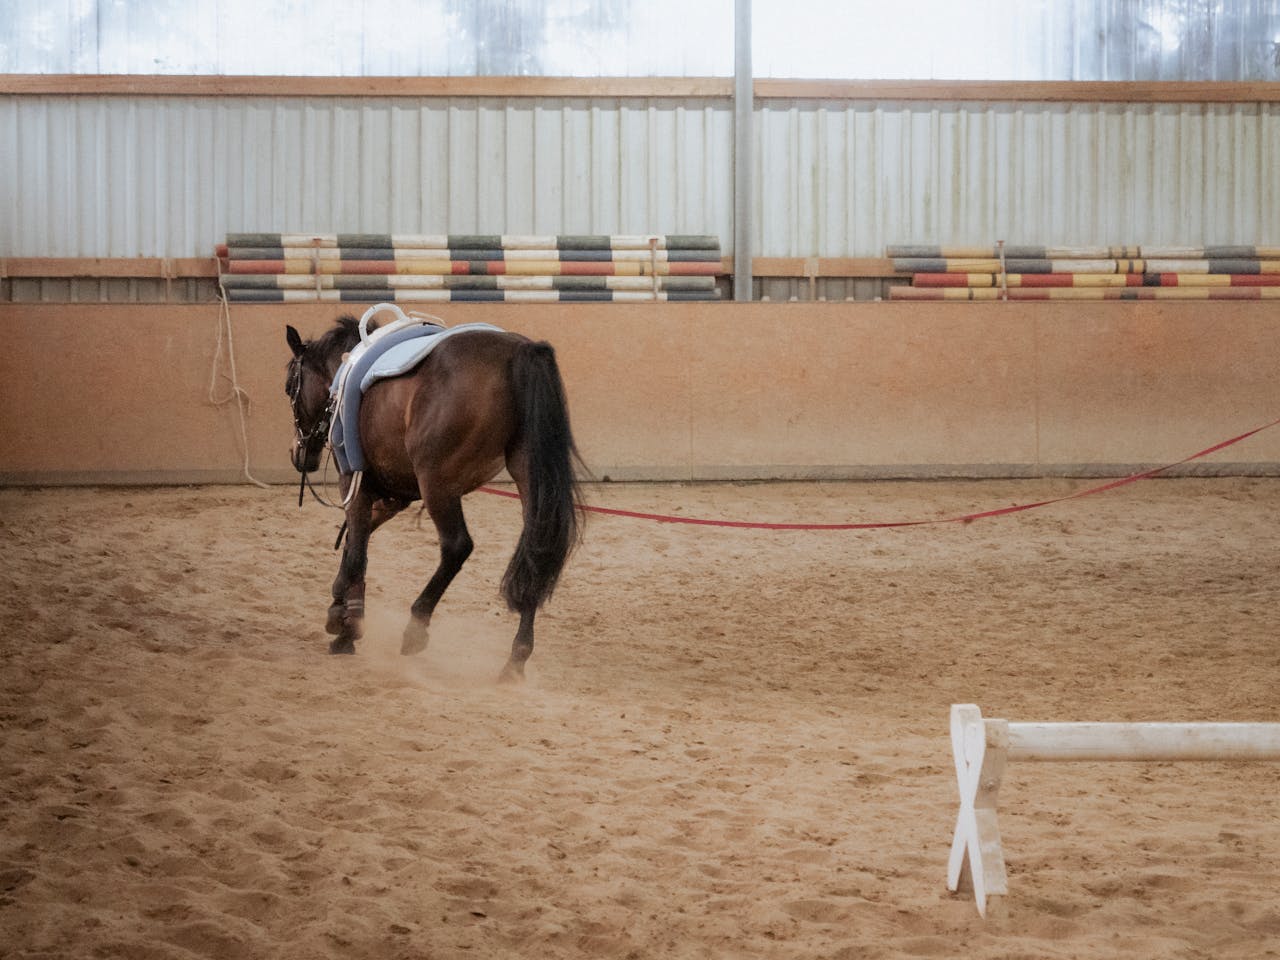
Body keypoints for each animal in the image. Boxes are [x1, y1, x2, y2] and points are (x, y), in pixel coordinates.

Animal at [284, 311, 584, 681]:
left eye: (289, 388)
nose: (299, 454)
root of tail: (518, 351)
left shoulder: (354, 483)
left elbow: (356, 552)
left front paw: (346, 624)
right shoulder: (393, 497)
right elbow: (359, 541)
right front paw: (343, 612)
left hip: (437, 483)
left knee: (457, 547)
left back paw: (416, 626)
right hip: (528, 477)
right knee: (536, 551)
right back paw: (516, 658)